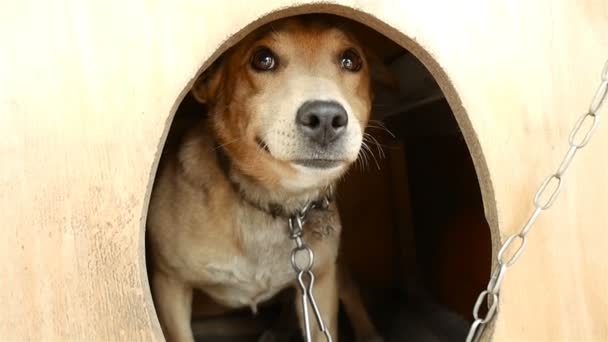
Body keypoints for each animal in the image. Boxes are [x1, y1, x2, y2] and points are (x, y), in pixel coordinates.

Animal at [147, 15, 382, 342]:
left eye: (351, 59)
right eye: (263, 59)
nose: (325, 118)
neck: (276, 203)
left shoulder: (321, 284)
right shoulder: (169, 284)